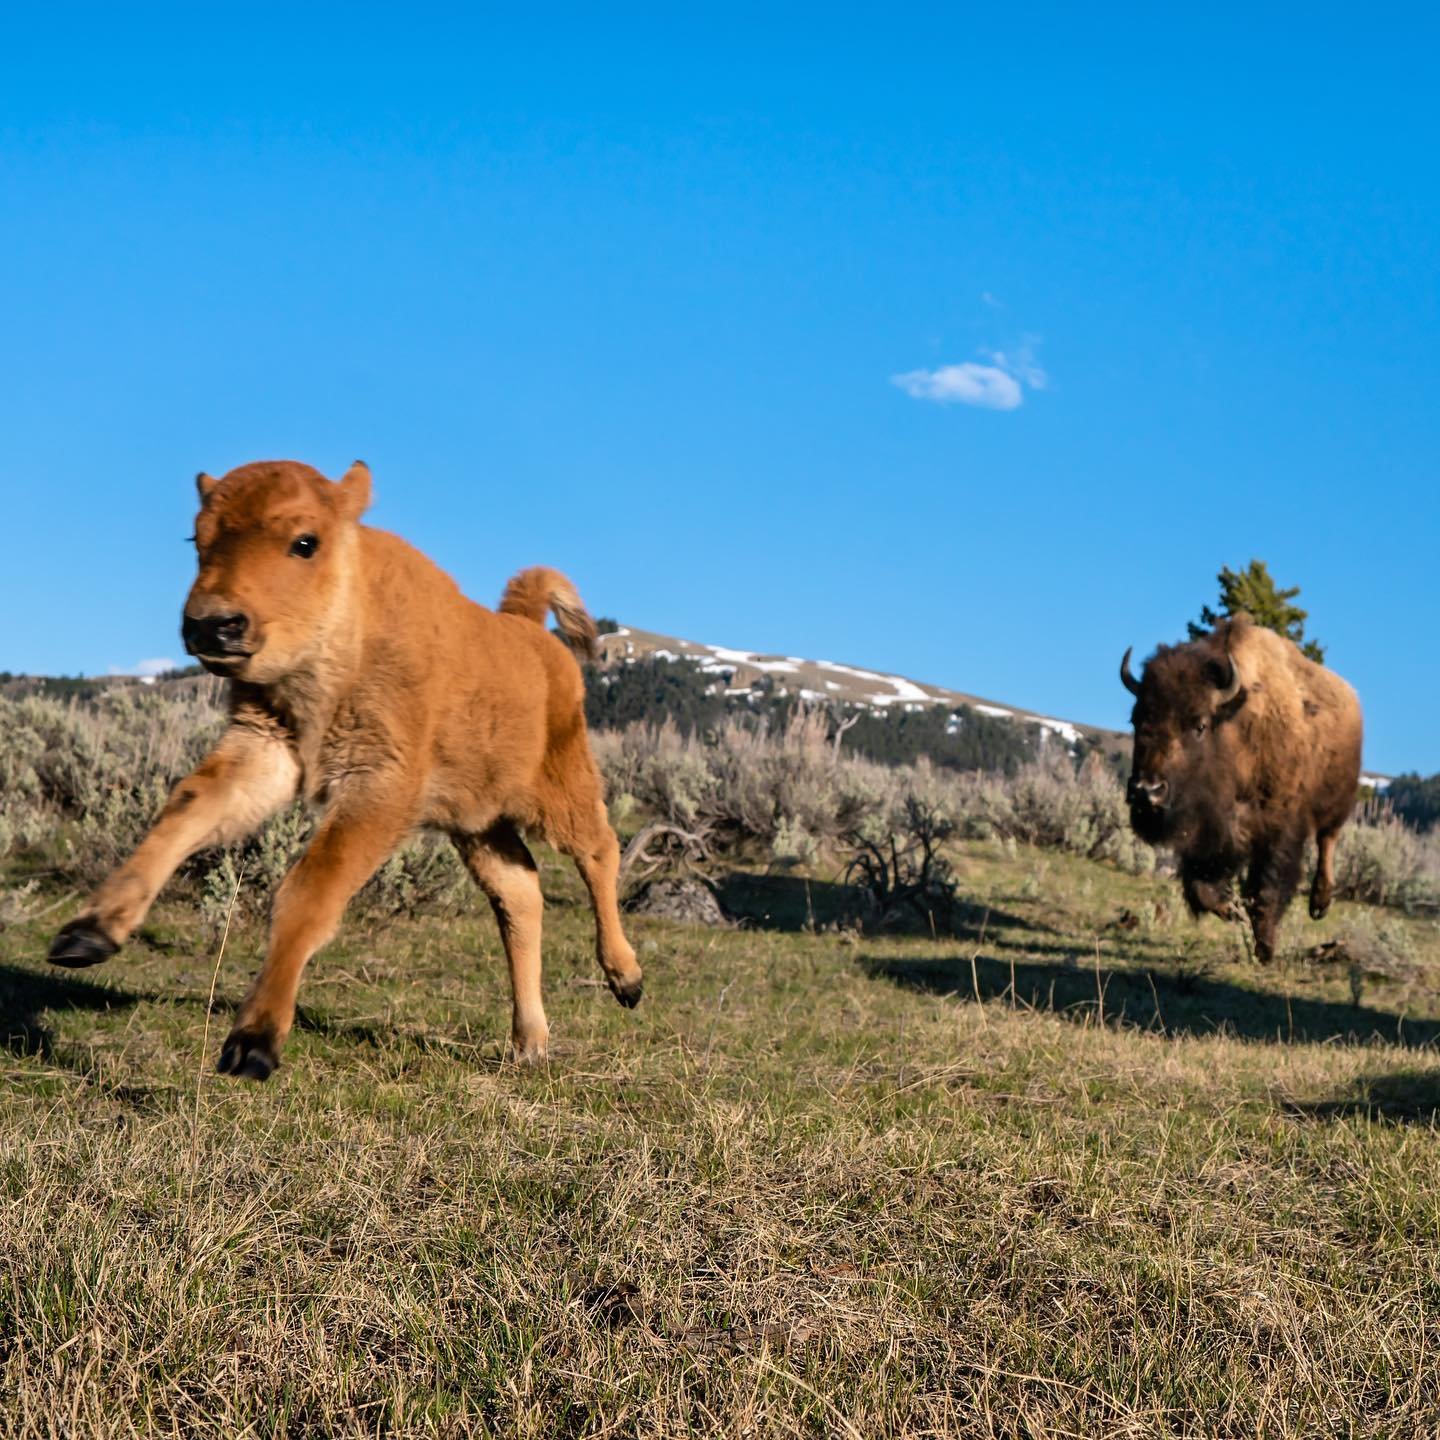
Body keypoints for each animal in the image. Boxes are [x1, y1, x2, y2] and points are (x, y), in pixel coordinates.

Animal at [46, 455, 642, 1077]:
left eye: (305, 542)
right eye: (198, 538)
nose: (212, 625)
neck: (349, 629)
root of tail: (529, 632)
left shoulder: (378, 787)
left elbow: (310, 888)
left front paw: (254, 1041)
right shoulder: (263, 750)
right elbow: (185, 811)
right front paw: (87, 934)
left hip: (557, 788)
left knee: (598, 849)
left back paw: (626, 979)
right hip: (476, 822)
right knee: (519, 892)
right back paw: (530, 1043)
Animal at [1123, 613, 1359, 961]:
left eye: (1200, 724)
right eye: (1136, 720)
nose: (1145, 791)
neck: (1236, 730)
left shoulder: (1278, 829)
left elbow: (1266, 889)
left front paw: (1265, 948)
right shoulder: (1211, 835)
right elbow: (1203, 886)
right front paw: (1233, 911)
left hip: (1336, 802)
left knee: (1327, 839)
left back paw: (1319, 903)